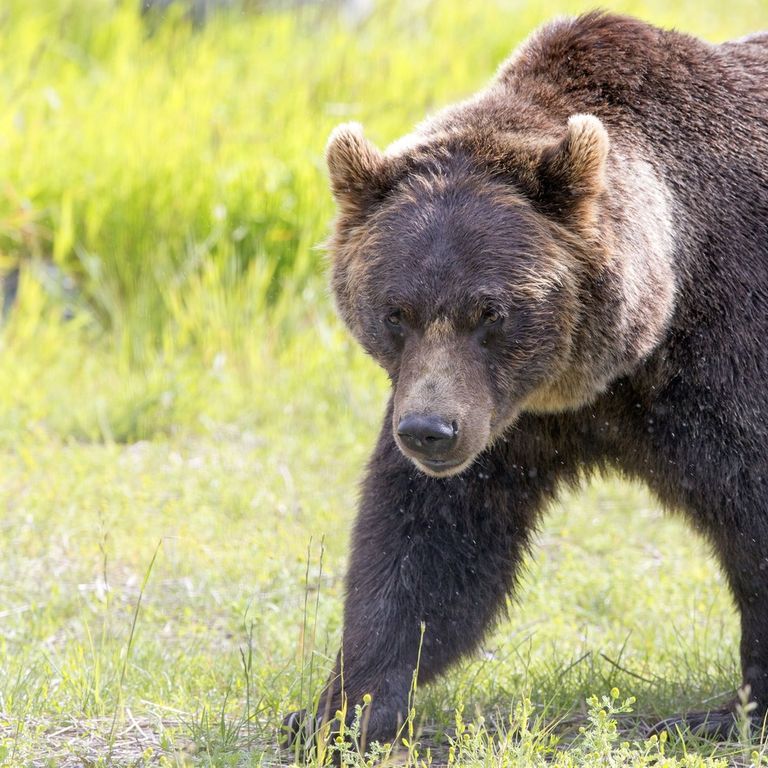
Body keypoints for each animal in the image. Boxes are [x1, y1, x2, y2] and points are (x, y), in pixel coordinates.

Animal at [284, 10, 768, 744]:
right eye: (396, 310)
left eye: (490, 310)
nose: (429, 432)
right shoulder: (504, 417)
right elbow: (429, 542)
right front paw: (343, 709)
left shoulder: (723, 357)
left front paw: (729, 710)